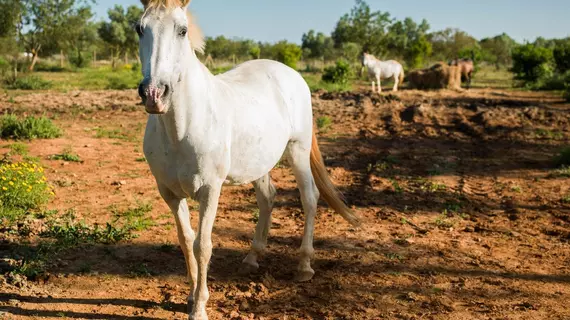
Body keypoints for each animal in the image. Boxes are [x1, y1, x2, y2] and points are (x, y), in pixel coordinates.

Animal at [137, 1, 358, 318]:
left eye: (182, 30)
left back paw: (304, 266)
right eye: (139, 29)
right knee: (268, 197)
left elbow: (203, 245)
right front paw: (190, 297)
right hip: (258, 163)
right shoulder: (169, 193)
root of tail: (289, 73)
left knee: (310, 198)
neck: (182, 127)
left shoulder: (210, 189)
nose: (154, 94)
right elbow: (185, 239)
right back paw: (252, 258)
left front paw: (199, 308)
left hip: (298, 150)